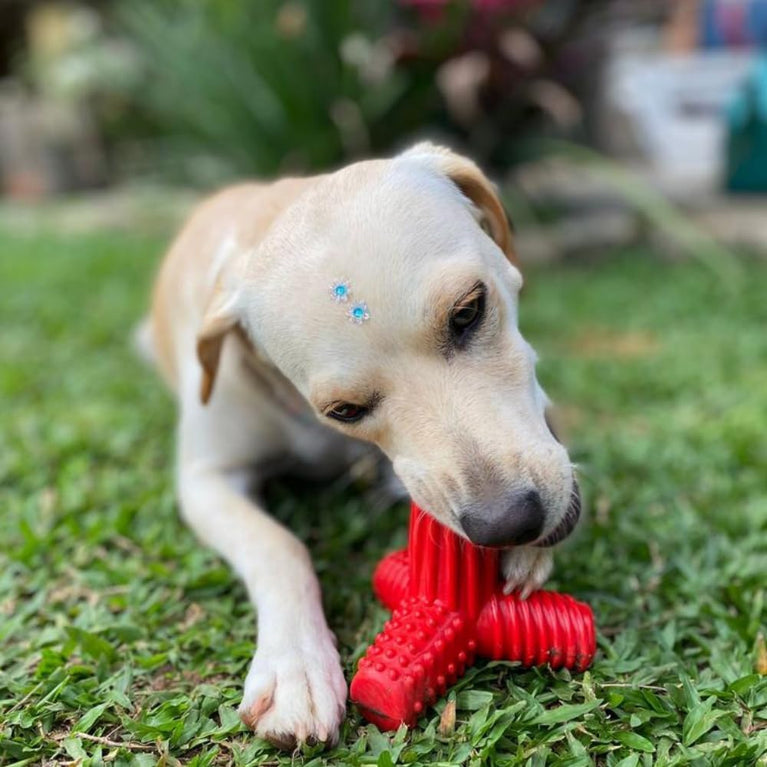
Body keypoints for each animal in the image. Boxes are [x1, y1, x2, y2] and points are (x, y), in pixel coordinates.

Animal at [140, 144, 584, 752]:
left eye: (468, 312)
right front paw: (295, 667)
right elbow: (279, 547)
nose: (507, 522)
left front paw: (529, 553)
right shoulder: (206, 479)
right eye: (344, 410)